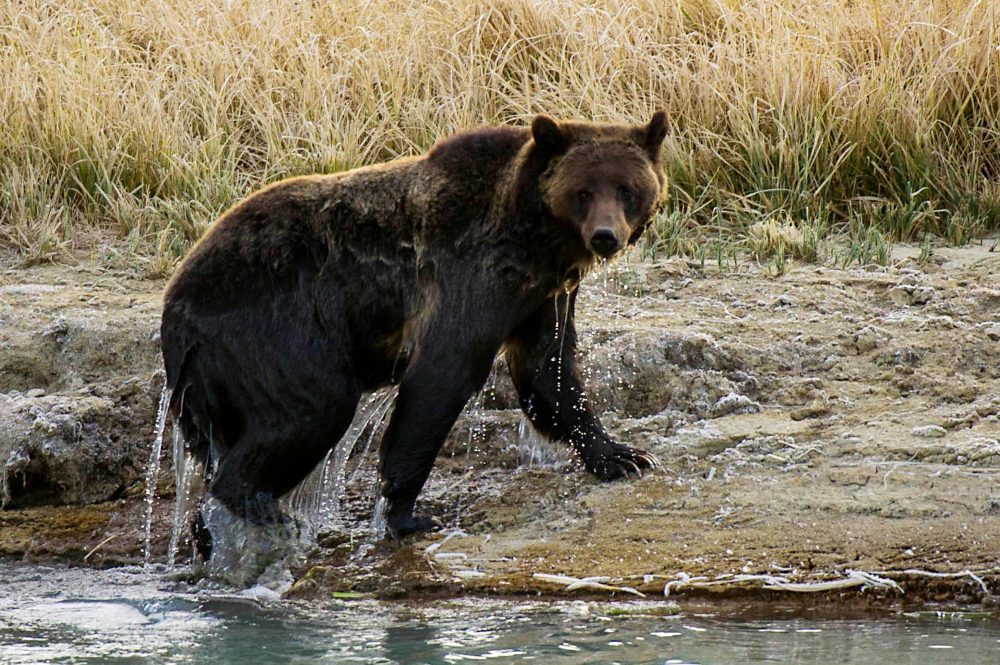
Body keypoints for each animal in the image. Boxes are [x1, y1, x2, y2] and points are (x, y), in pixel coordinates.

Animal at [161, 112, 667, 544]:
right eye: (583, 191)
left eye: (626, 189)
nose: (606, 236)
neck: (534, 242)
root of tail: (174, 309)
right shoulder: (466, 276)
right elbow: (441, 376)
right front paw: (408, 513)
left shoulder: (543, 296)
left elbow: (549, 373)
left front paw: (624, 455)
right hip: (273, 329)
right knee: (313, 407)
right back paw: (263, 512)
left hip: (213, 382)